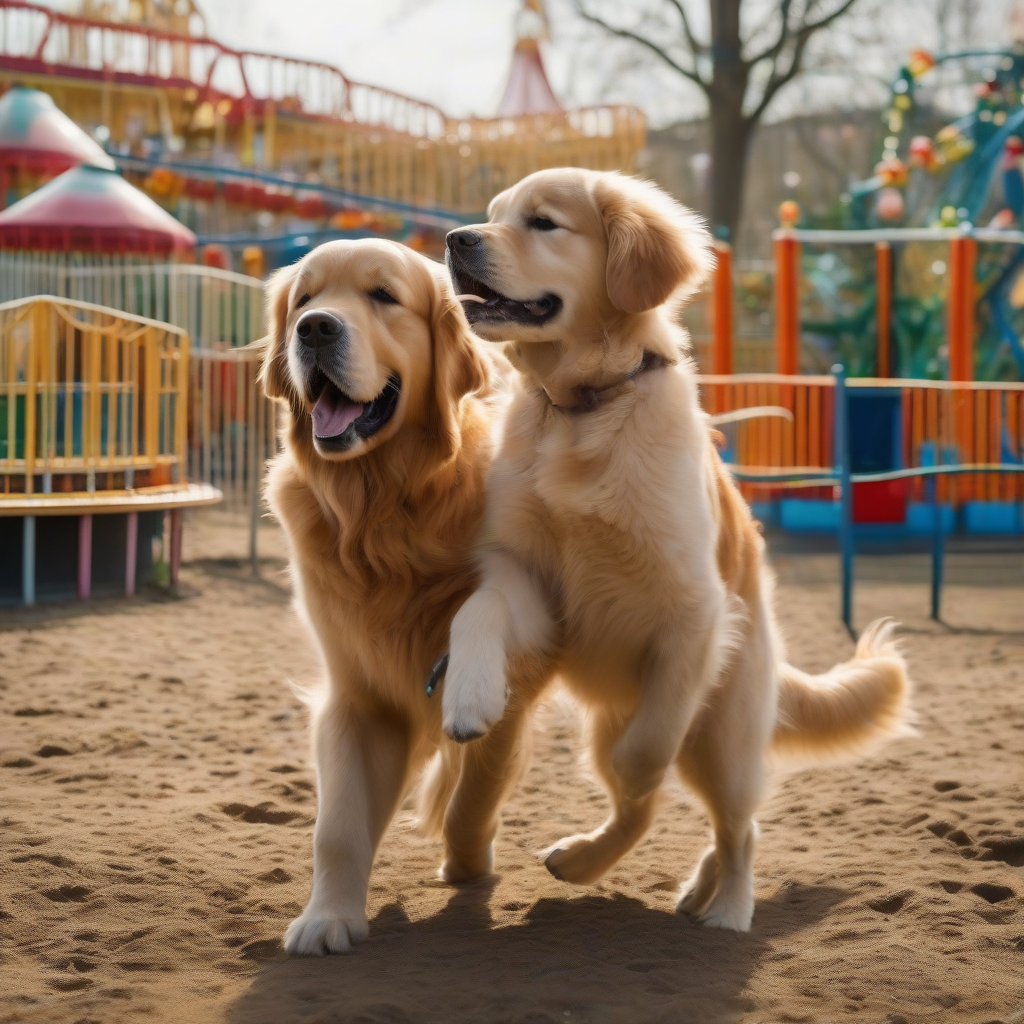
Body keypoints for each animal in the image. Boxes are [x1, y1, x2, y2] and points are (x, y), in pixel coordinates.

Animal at [260, 237, 532, 950]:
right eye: (304, 298)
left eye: (383, 296)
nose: (314, 329)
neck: (383, 511)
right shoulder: (359, 696)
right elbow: (337, 826)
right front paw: (328, 917)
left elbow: (475, 787)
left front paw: (466, 857)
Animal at [438, 172, 913, 933]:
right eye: (492, 216)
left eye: (543, 223)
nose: (456, 241)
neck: (584, 409)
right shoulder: (524, 572)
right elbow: (476, 612)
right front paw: (470, 698)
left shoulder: (693, 609)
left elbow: (649, 754)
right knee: (668, 812)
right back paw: (610, 867)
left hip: (724, 736)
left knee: (735, 824)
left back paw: (727, 911)